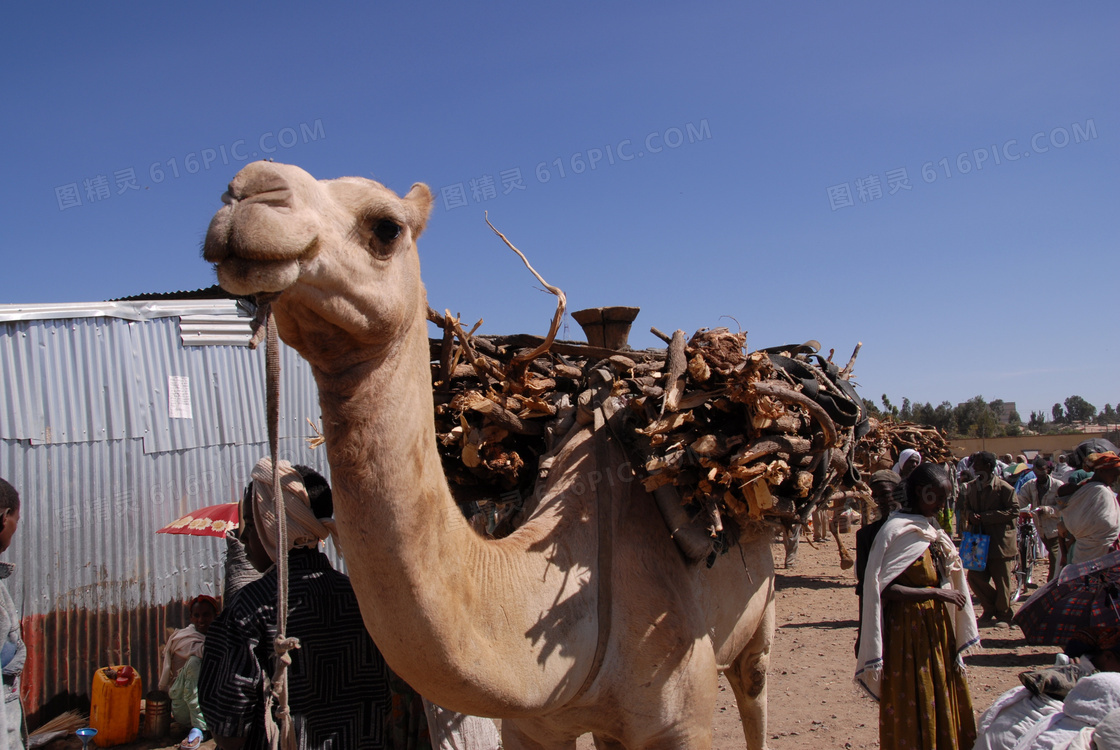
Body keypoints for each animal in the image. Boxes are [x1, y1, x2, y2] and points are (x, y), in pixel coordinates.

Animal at [201, 161, 775, 747]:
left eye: (387, 227)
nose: (247, 194)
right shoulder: (534, 726)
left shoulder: (682, 720)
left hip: (759, 619)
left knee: (753, 689)